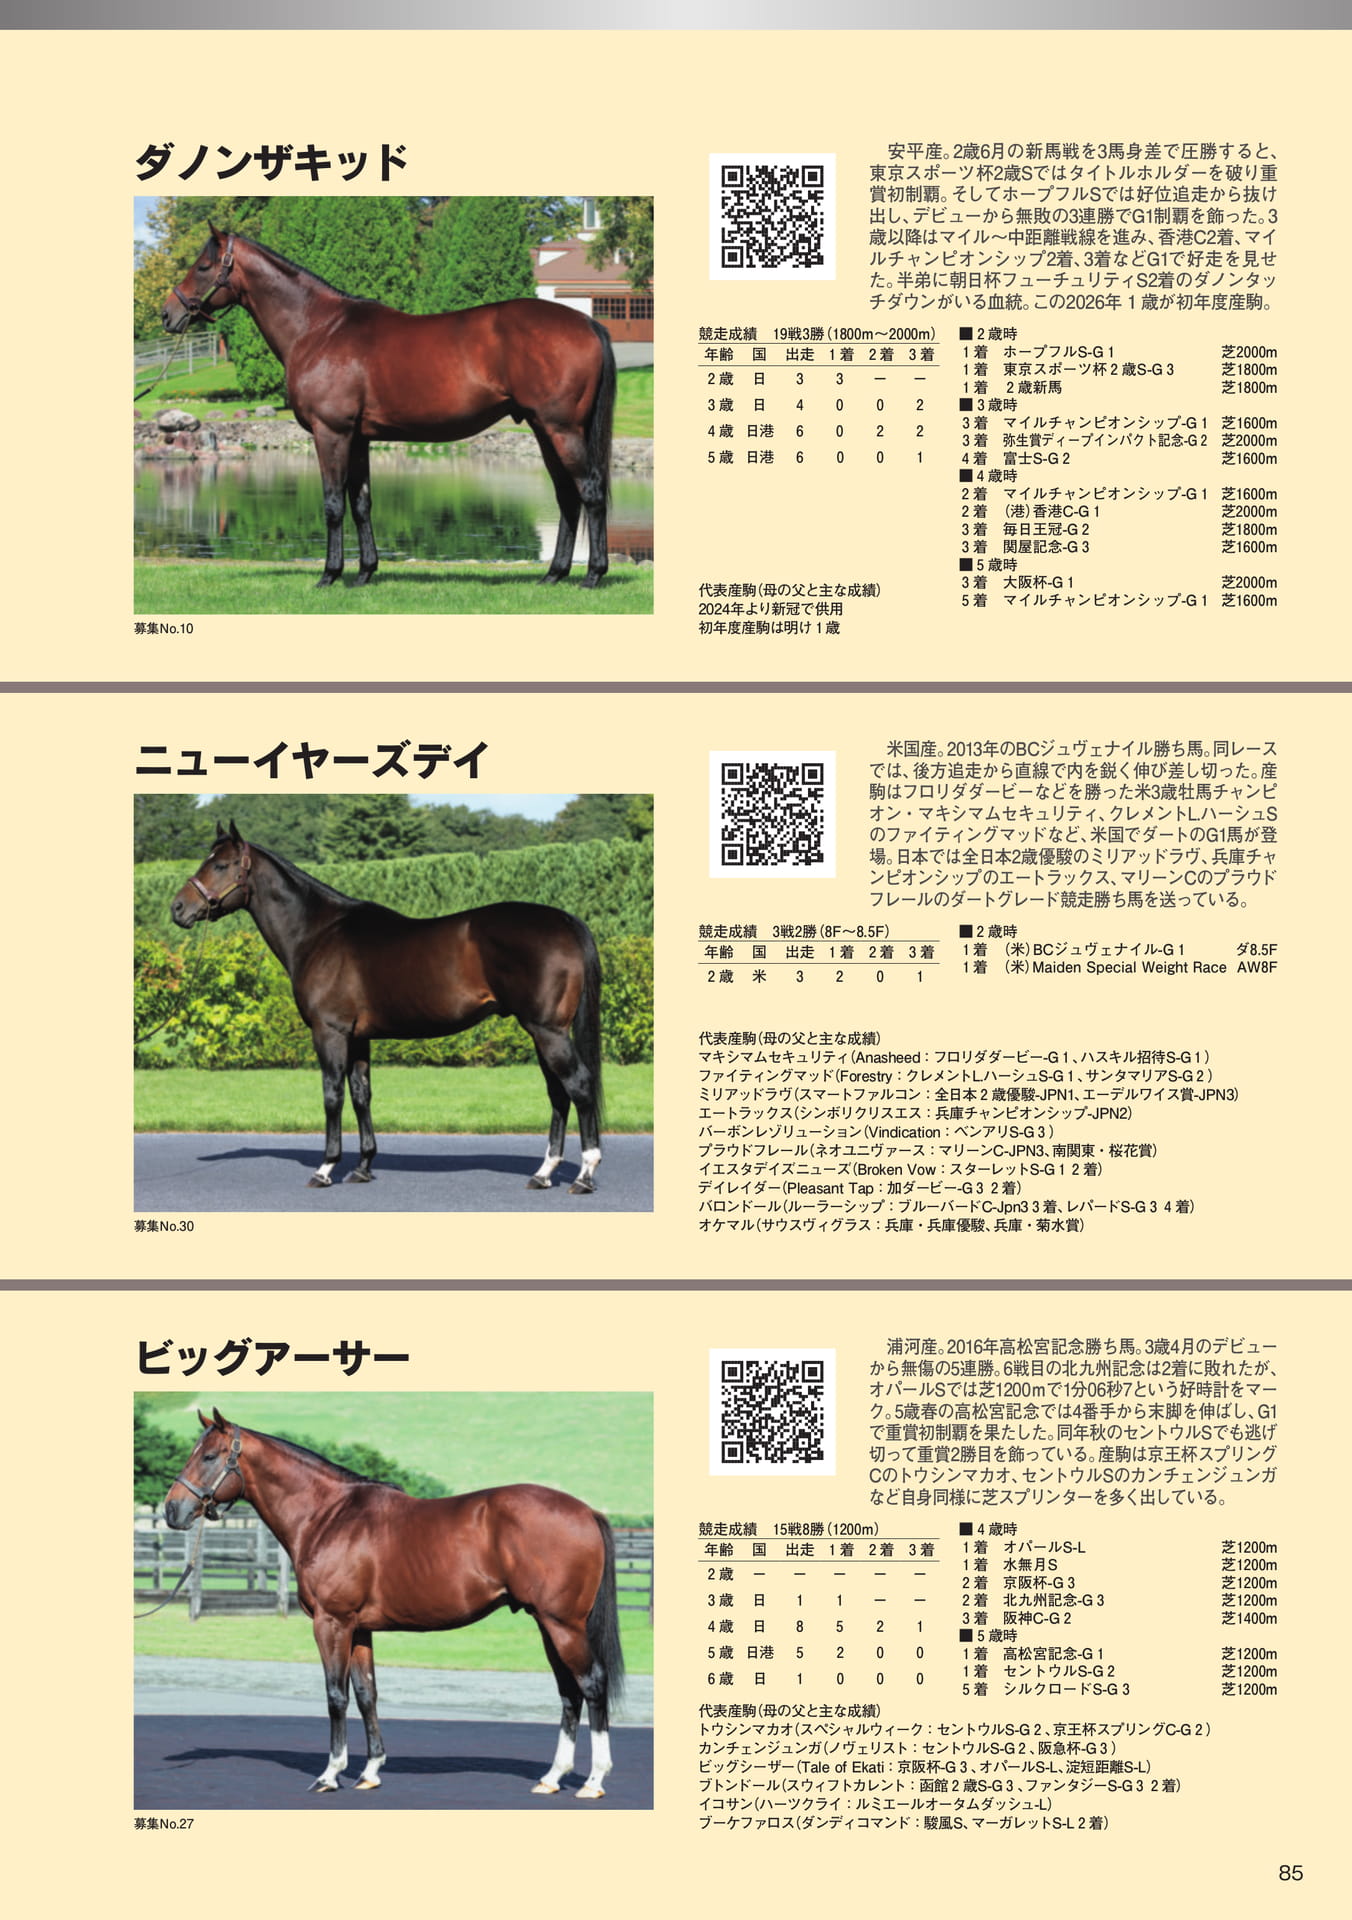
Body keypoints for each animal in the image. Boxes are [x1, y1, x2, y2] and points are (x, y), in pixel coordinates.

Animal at [161, 223, 614, 589]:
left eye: (203, 266)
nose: (168, 313)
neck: (319, 328)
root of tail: (587, 322)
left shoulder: (331, 434)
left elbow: (332, 504)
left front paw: (329, 575)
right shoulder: (358, 438)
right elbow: (361, 504)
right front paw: (364, 572)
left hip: (562, 429)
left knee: (589, 491)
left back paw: (592, 575)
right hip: (544, 429)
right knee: (567, 496)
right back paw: (553, 574)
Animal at [163, 1410, 625, 1798]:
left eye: (208, 1456)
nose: (172, 1510)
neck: (327, 1516)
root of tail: (586, 1512)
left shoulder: (332, 1623)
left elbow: (335, 1694)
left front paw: (330, 1774)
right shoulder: (360, 1629)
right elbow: (367, 1693)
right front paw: (370, 1772)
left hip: (562, 1624)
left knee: (591, 1684)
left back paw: (594, 1780)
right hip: (548, 1624)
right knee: (569, 1692)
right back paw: (552, 1777)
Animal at [170, 822, 604, 1194]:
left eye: (220, 864)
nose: (178, 908)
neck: (319, 934)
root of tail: (566, 922)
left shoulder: (330, 1033)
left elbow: (332, 1095)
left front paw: (325, 1167)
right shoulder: (359, 1038)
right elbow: (361, 1094)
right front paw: (363, 1166)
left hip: (548, 1032)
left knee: (579, 1087)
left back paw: (584, 1174)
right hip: (542, 1032)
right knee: (558, 1093)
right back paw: (544, 1173)